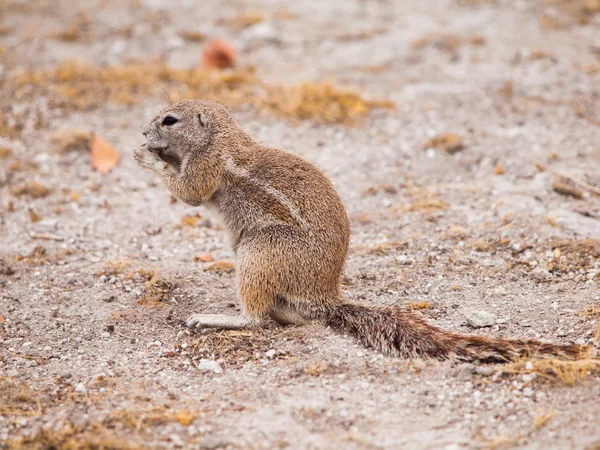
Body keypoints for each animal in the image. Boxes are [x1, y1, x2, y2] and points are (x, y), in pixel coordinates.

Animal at [134, 99, 588, 362]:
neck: (220, 138)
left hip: (261, 251)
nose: (141, 131)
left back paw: (216, 318)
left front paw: (147, 158)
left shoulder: (206, 168)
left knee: (257, 319)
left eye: (169, 120)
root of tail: (326, 298)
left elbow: (189, 193)